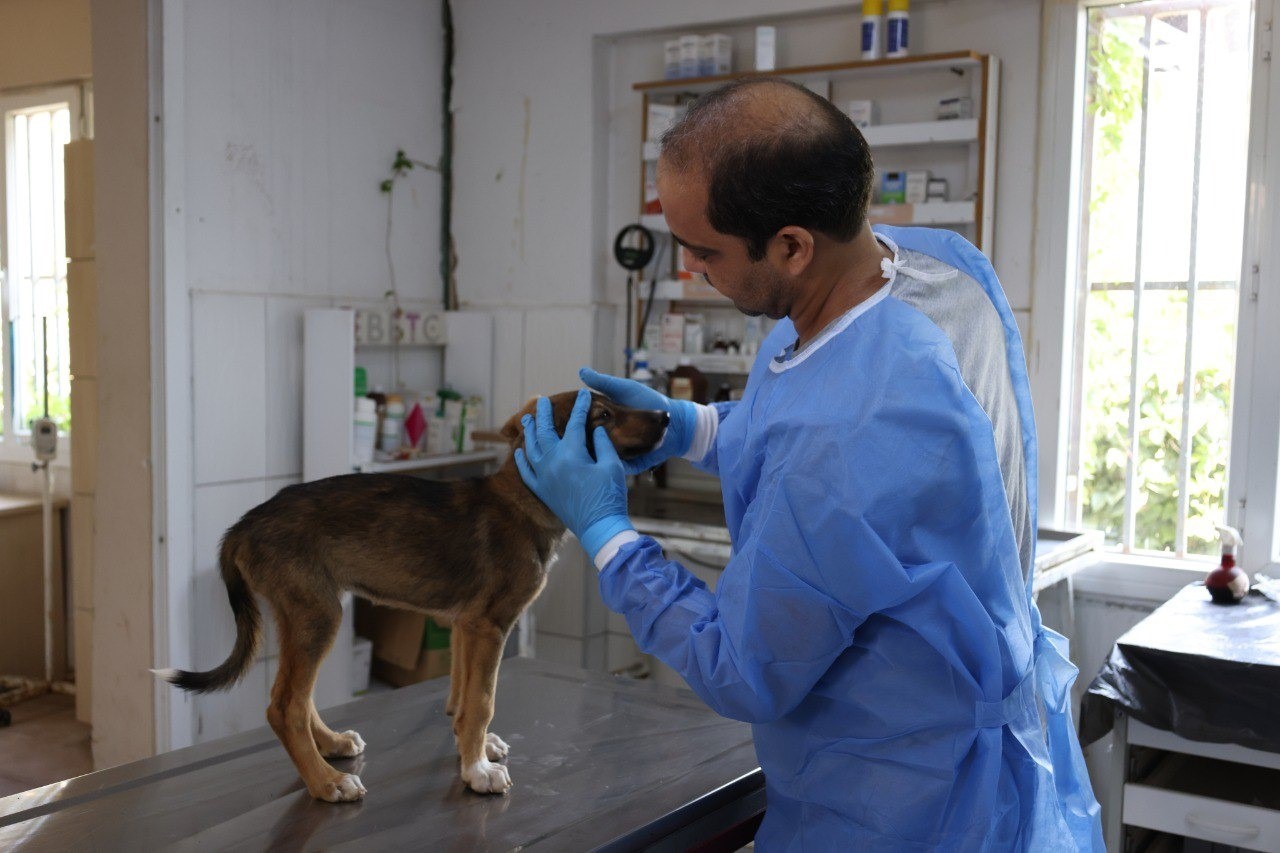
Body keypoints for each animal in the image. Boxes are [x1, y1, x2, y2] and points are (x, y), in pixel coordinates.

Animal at [154, 389, 665, 799]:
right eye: (603, 414)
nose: (665, 414)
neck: (523, 500)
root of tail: (244, 525)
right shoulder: (491, 624)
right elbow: (483, 700)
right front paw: (478, 771)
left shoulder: (466, 624)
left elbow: (463, 695)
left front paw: (474, 749)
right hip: (317, 614)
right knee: (284, 707)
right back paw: (325, 783)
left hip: (306, 612)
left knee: (300, 696)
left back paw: (331, 745)